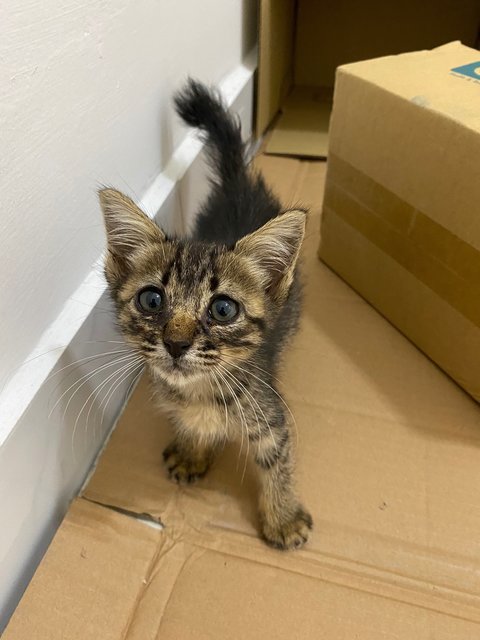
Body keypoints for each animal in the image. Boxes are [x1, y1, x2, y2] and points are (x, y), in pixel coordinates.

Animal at [99, 79, 314, 552]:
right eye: (151, 301)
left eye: (222, 309)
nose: (176, 343)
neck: (199, 393)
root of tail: (238, 181)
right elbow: (191, 428)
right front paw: (192, 450)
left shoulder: (271, 415)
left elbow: (279, 462)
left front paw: (283, 516)